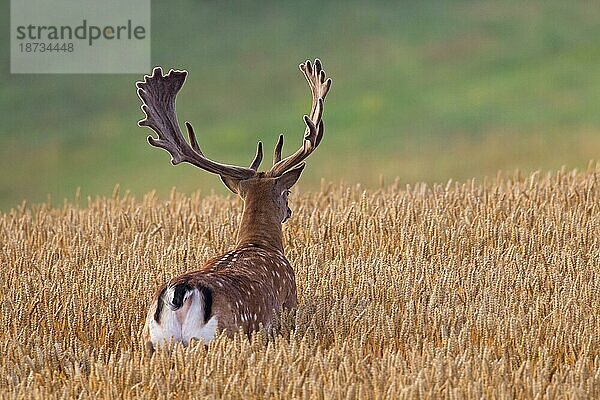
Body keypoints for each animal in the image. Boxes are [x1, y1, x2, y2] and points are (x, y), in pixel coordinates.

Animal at [137, 58, 332, 354]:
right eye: (286, 192)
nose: (289, 211)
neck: (259, 244)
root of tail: (180, 292)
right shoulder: (290, 303)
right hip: (222, 334)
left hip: (151, 341)